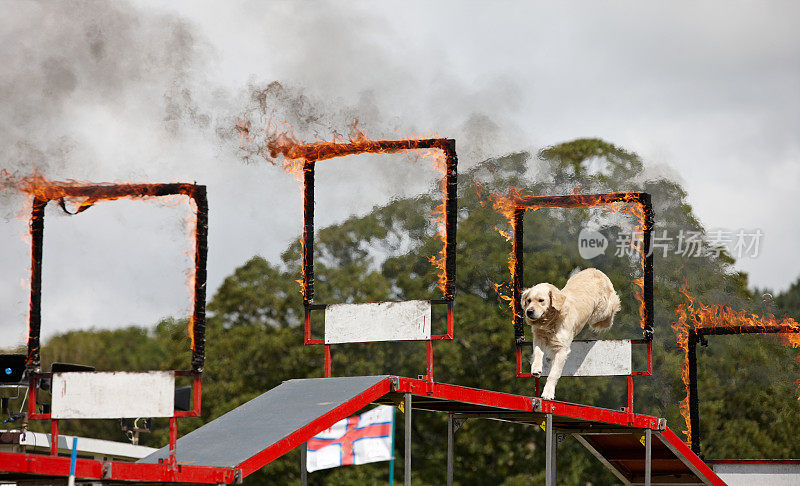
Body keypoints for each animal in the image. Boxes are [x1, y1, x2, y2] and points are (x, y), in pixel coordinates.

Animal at [520, 268, 620, 400]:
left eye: (541, 300)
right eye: (528, 300)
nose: (529, 311)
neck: (551, 321)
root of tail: (595, 270)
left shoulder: (562, 349)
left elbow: (553, 374)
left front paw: (548, 393)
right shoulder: (539, 337)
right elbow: (537, 353)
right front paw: (536, 368)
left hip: (599, 314)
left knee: (612, 307)